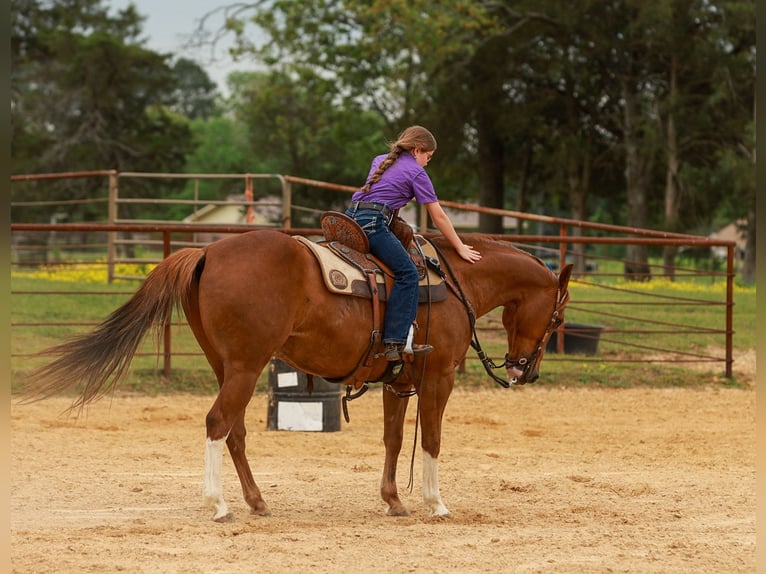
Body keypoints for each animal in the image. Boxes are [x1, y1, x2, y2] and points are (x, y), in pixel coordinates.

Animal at [22, 227, 572, 522]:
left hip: (228, 366)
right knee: (218, 423)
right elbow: (433, 438)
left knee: (235, 430)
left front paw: (394, 501)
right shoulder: (438, 377)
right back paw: (219, 504)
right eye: (559, 317)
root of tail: (208, 251)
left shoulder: (399, 381)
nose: (526, 371)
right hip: (246, 367)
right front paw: (436, 504)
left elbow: (395, 440)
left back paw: (256, 501)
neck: (454, 283)